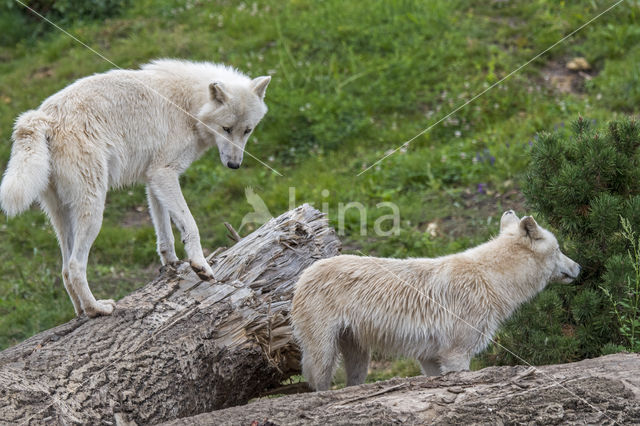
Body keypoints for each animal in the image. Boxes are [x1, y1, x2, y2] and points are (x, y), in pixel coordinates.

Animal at [0, 59, 272, 316]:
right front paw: (200, 266)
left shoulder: (153, 181)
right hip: (94, 211)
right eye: (226, 129)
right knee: (76, 266)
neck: (188, 106)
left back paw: (81, 313)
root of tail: (42, 116)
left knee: (65, 270)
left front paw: (172, 264)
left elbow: (165, 233)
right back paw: (97, 309)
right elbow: (190, 224)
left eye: (247, 131)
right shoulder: (164, 174)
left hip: (62, 215)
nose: (235, 165)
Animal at [292, 211, 584, 392]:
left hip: (359, 355)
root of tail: (303, 275)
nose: (579, 267)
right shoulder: (456, 354)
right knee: (318, 386)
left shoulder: (431, 357)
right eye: (559, 249)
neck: (491, 280)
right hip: (324, 353)